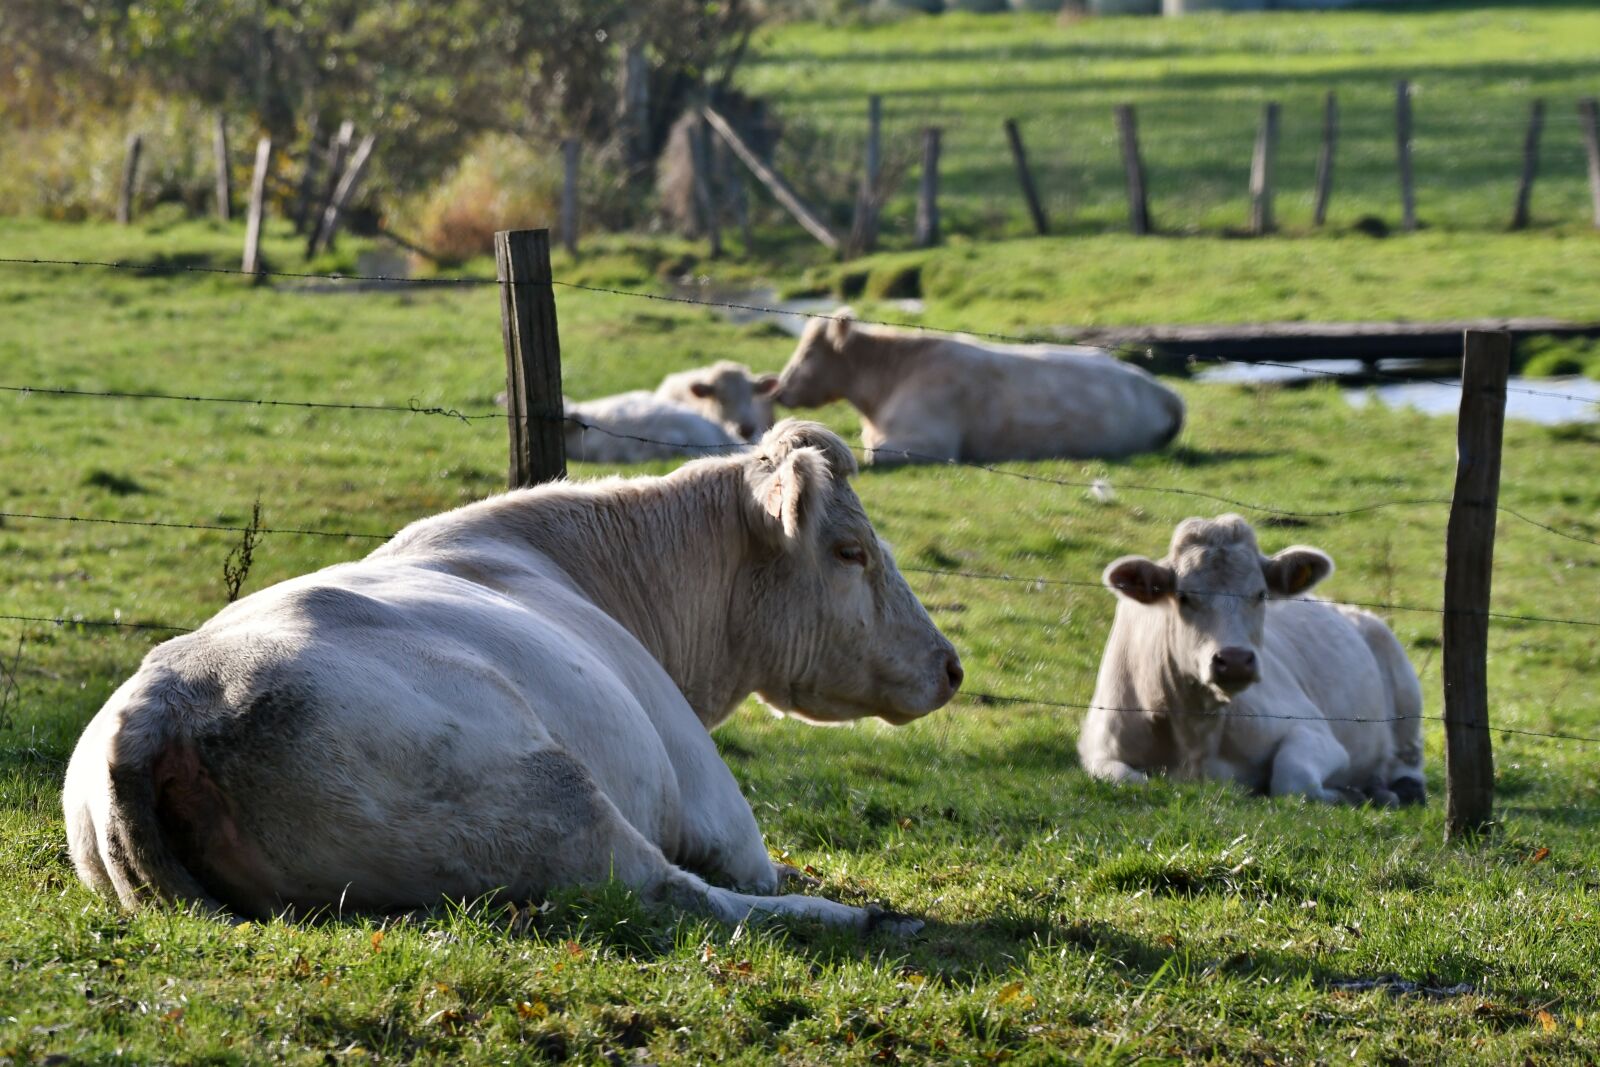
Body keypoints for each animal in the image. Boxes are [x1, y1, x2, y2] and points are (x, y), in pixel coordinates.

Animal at [62, 421, 963, 932]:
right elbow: (749, 870)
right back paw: (854, 915)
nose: (950, 665)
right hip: (553, 800)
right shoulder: (720, 813)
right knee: (674, 895)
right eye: (850, 550)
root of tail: (162, 703)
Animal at [1078, 515, 1425, 806]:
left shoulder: (1316, 732)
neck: (1196, 734)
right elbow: (1132, 780)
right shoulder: (1099, 749)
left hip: (1404, 691)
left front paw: (1349, 794)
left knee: (1407, 764)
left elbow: (1292, 779)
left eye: (1260, 594)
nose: (1234, 660)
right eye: (1183, 596)